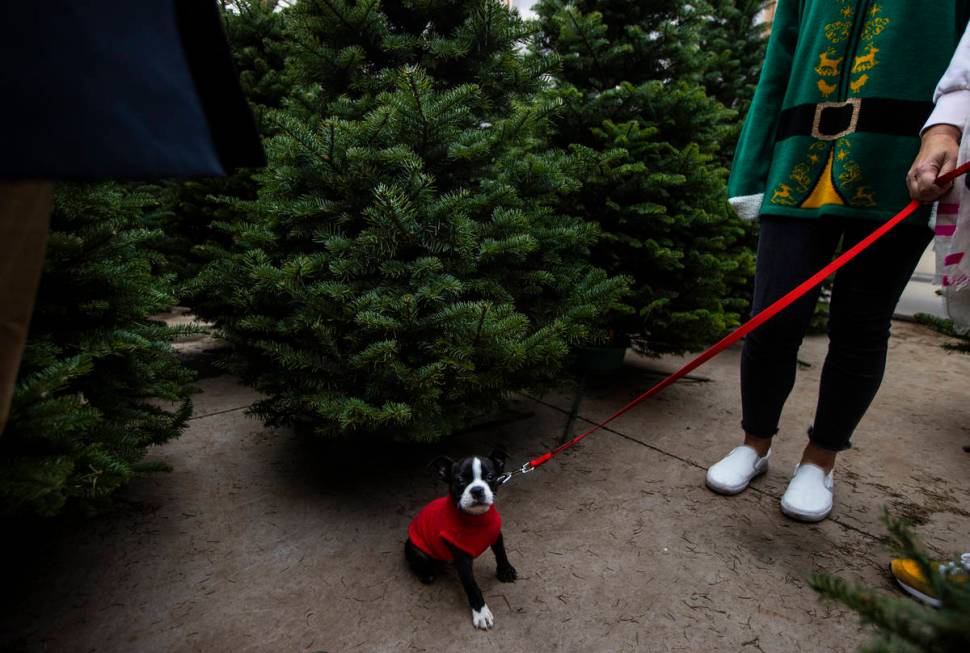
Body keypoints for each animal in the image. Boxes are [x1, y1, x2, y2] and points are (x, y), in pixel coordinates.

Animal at [404, 450, 520, 628]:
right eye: (460, 480)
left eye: (491, 477)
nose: (477, 490)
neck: (476, 519)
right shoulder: (462, 559)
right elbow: (472, 586)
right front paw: (481, 612)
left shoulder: (495, 534)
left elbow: (501, 553)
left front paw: (505, 571)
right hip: (416, 550)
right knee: (417, 562)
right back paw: (426, 574)